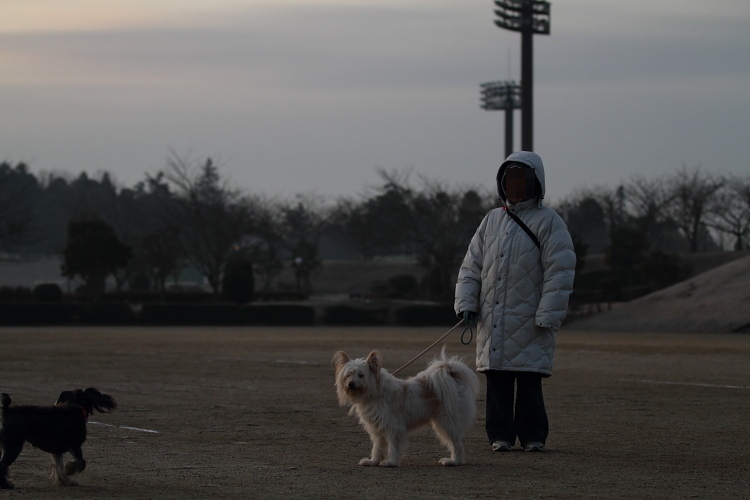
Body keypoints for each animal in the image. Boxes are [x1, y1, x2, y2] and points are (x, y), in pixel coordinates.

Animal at [334, 346, 482, 466]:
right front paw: (373, 461)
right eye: (348, 375)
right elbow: (377, 447)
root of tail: (452, 374)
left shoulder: (393, 427)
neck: (377, 391)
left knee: (457, 444)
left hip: (447, 423)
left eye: (361, 375)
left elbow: (393, 446)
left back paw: (454, 461)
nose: (351, 384)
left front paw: (391, 462)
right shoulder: (377, 429)